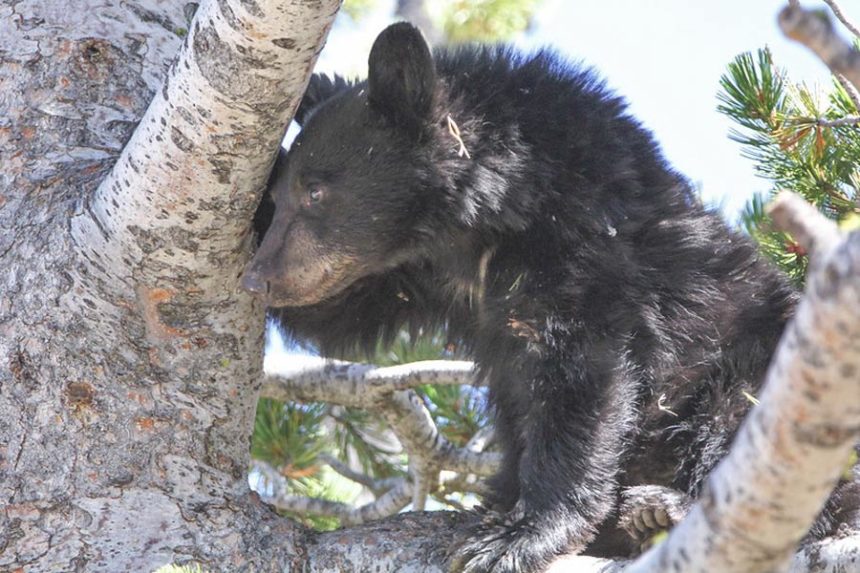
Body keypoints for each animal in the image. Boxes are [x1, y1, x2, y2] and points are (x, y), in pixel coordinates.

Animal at [243, 22, 859, 573]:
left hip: (761, 364)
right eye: (283, 194)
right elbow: (341, 312)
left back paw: (661, 509)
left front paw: (519, 537)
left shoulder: (585, 249)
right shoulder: (420, 278)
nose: (257, 278)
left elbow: (583, 381)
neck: (480, 227)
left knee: (746, 426)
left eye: (316, 191)